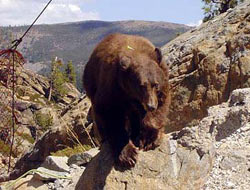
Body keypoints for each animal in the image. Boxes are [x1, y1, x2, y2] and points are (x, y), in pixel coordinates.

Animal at [83, 33, 171, 167]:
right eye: (141, 86)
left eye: (155, 84)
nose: (151, 106)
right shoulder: (112, 86)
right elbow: (110, 114)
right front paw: (127, 154)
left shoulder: (163, 79)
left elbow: (160, 106)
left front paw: (149, 139)